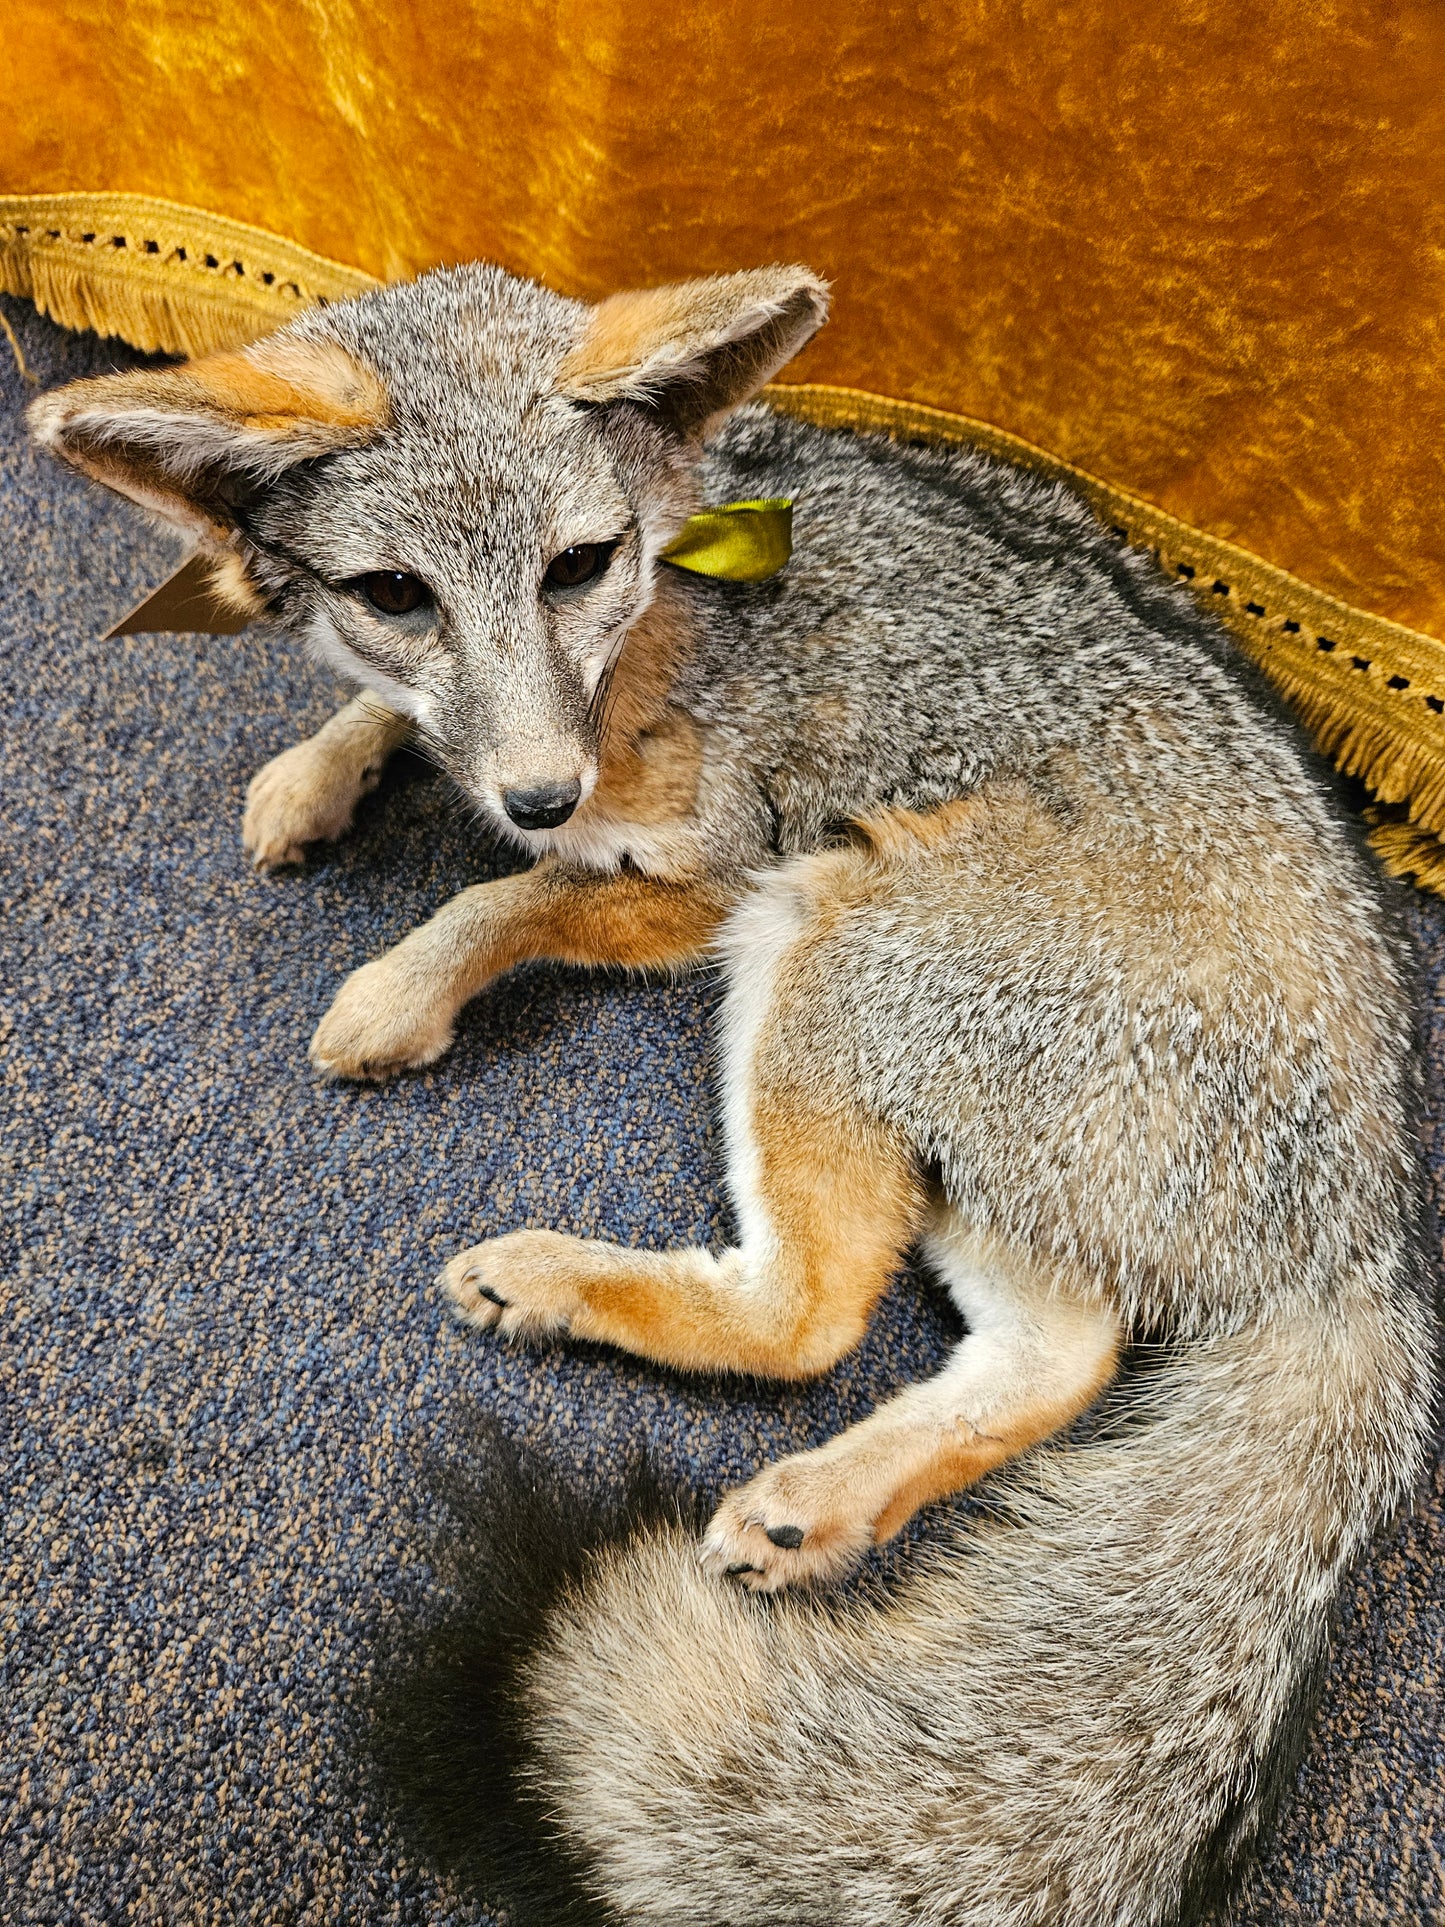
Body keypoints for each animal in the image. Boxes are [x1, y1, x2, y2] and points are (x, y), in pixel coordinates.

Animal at [31, 260, 1441, 1927]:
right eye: (394, 594)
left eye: (580, 565)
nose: (541, 792)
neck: (672, 578)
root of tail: (1373, 1232)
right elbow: (395, 731)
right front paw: (319, 768)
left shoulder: (700, 877)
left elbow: (505, 899)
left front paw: (403, 979)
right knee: (1057, 1357)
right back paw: (822, 1506)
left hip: (817, 923)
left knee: (808, 1316)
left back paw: (559, 1284)